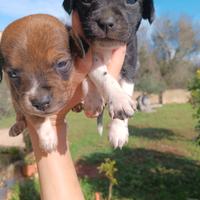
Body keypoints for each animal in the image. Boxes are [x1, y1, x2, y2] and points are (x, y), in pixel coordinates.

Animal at [0, 13, 87, 152]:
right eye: (12, 74)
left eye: (62, 63)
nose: (41, 103)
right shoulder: (21, 101)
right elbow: (37, 117)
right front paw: (48, 137)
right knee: (19, 116)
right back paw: (17, 126)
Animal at [62, 0, 155, 148]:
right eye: (86, 1)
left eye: (131, 2)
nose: (106, 22)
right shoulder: (87, 55)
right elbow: (101, 75)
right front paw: (114, 99)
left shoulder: (130, 62)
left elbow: (125, 88)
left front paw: (118, 130)